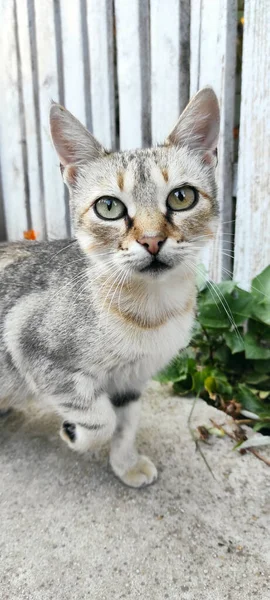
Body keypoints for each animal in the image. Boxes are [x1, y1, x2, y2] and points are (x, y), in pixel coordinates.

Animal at [0, 88, 219, 488]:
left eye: (182, 197)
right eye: (108, 207)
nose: (152, 240)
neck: (150, 314)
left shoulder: (132, 379)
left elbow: (126, 423)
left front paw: (126, 464)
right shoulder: (29, 344)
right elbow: (101, 419)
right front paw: (73, 431)